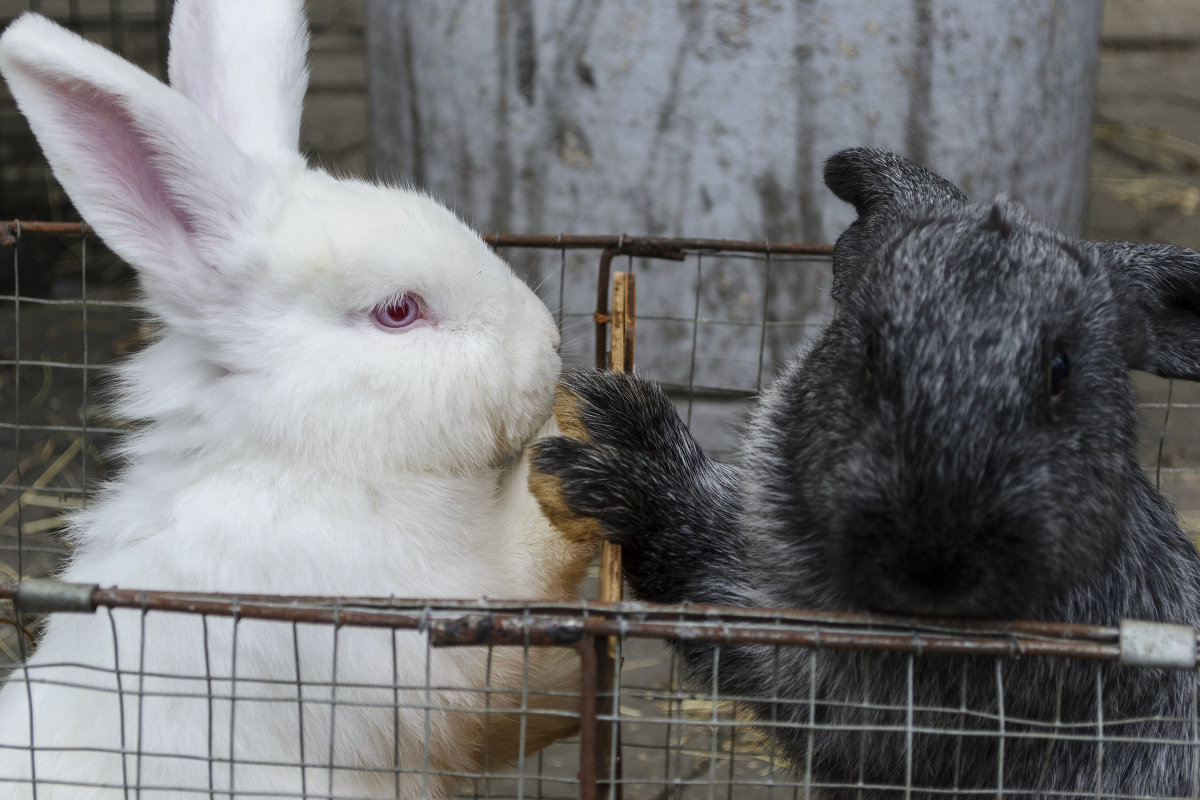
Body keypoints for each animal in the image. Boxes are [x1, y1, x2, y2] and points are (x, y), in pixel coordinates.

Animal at [0, 3, 595, 796]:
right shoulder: (428, 647)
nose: (551, 346)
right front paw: (565, 450)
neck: (306, 462)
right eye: (398, 311)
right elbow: (521, 604)